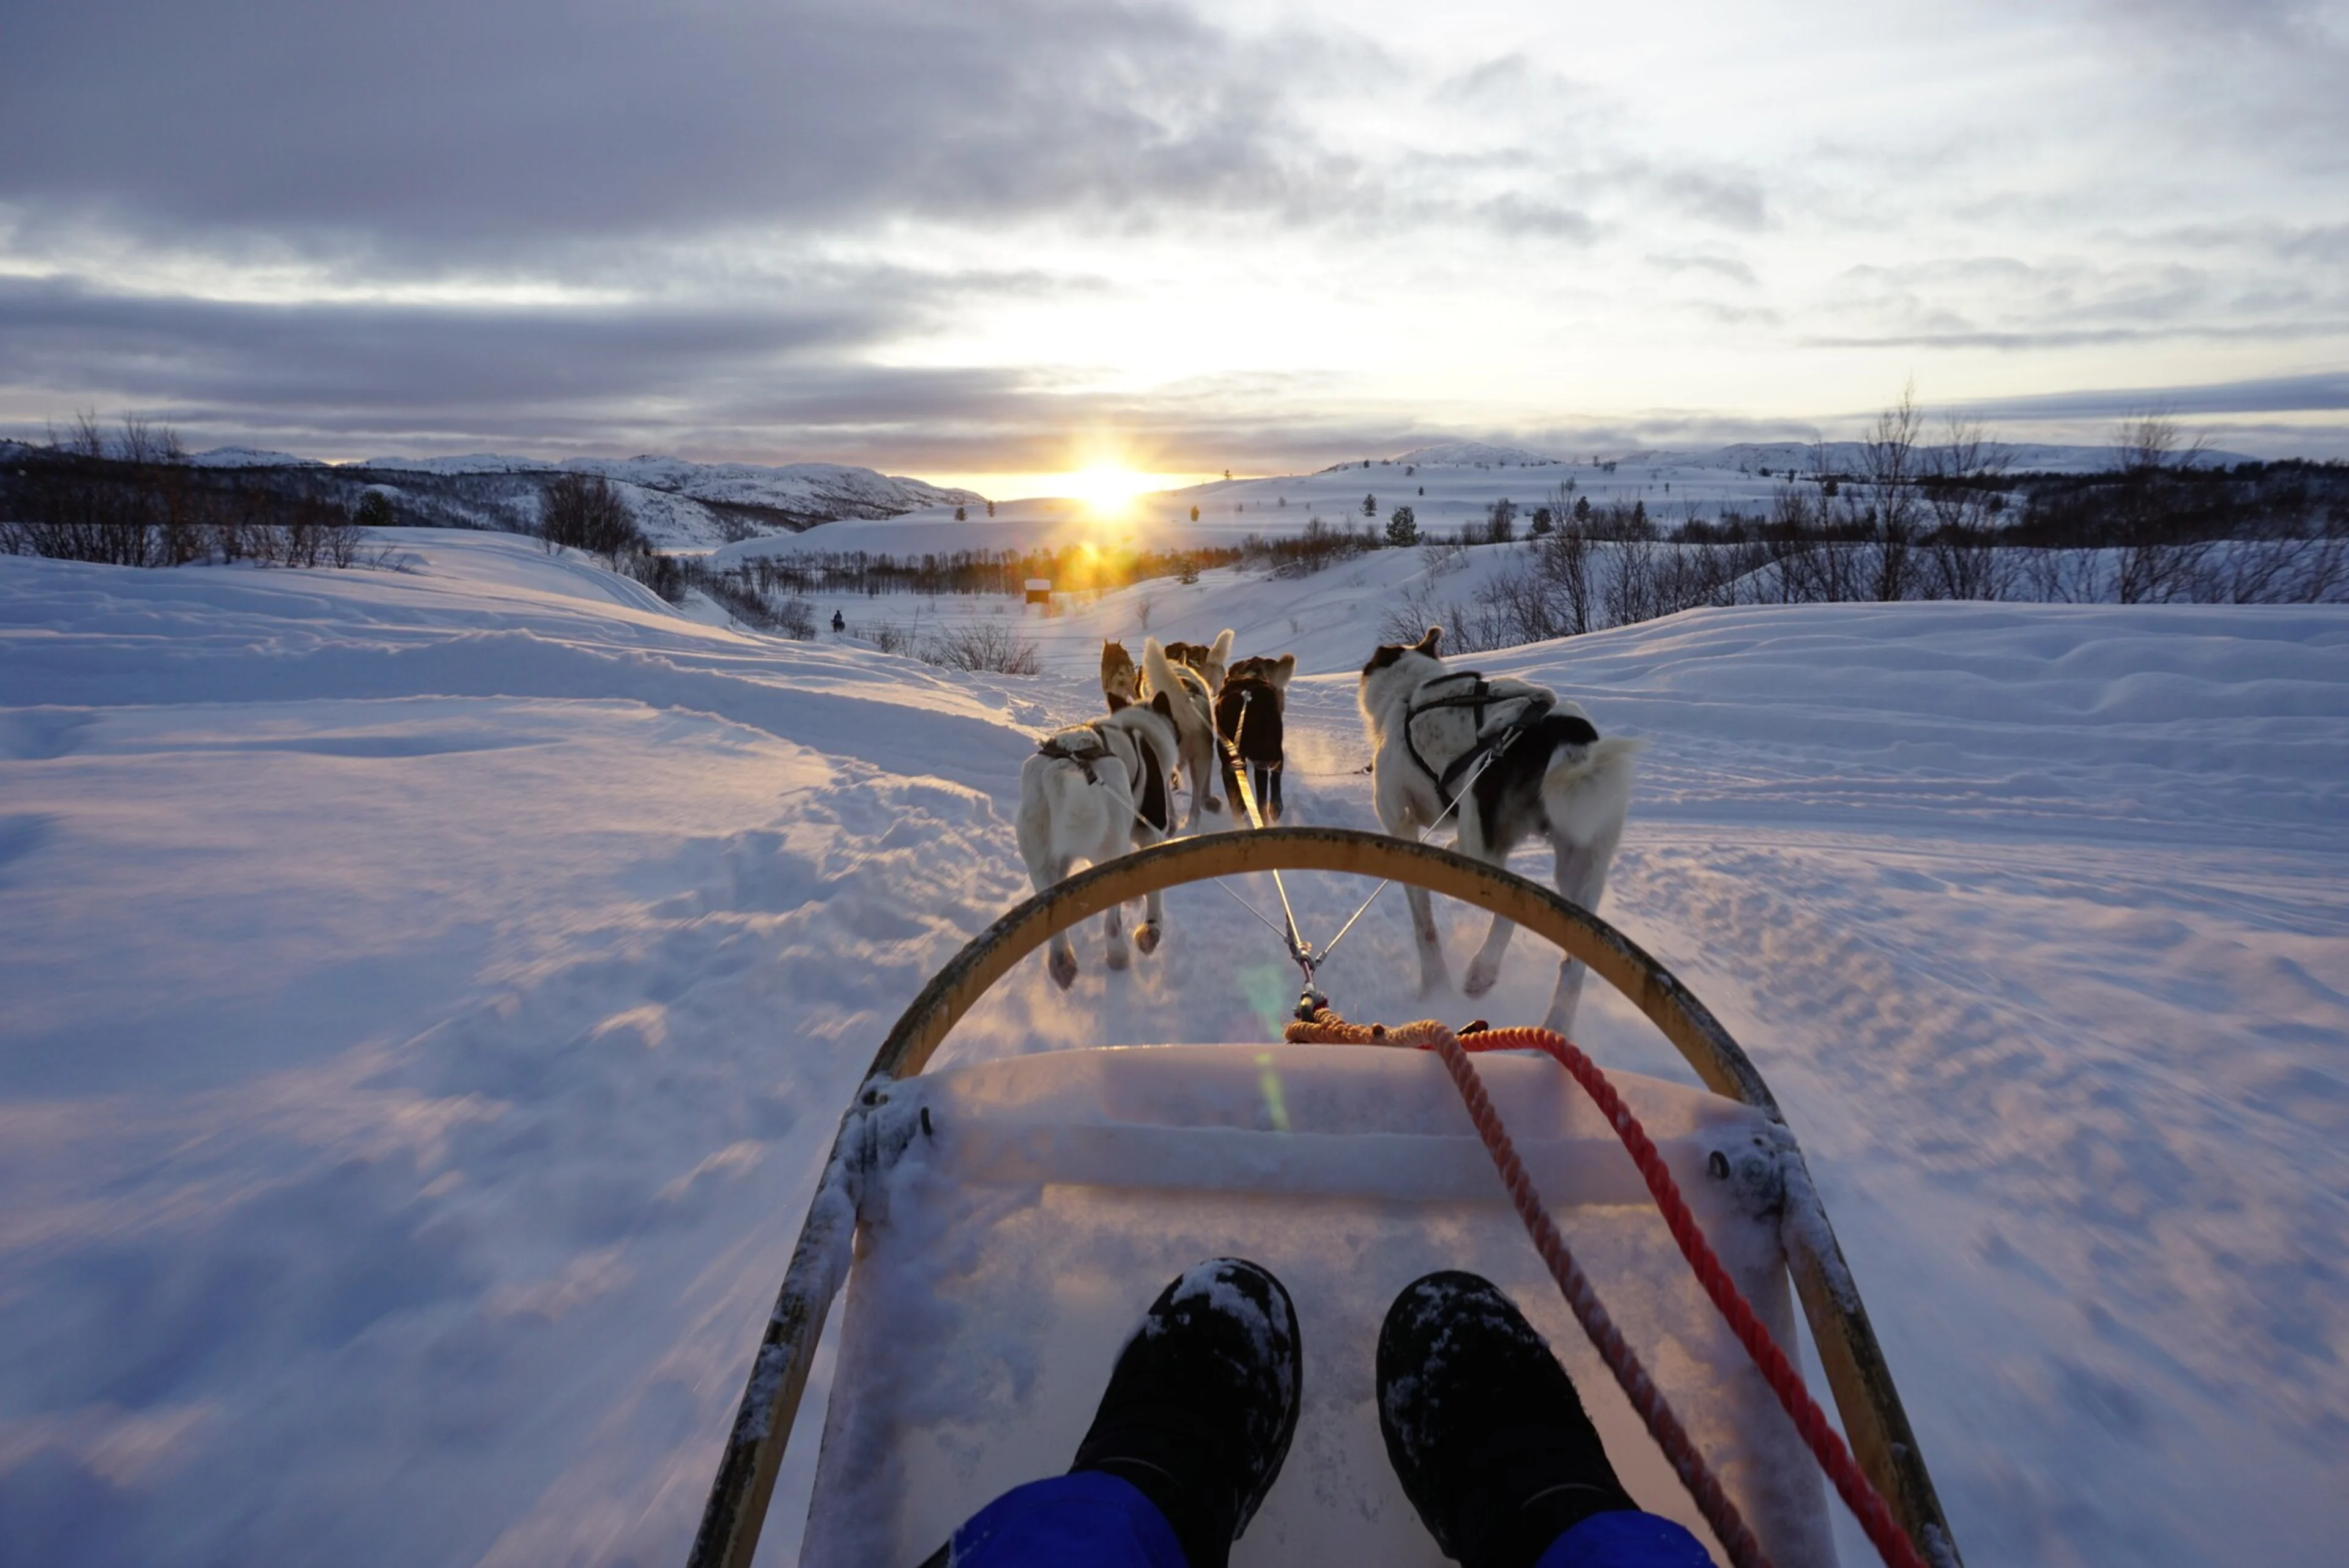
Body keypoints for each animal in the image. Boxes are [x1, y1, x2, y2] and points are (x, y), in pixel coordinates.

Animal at [1019, 690, 1184, 986]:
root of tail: (1065, 765)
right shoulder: (1150, 832)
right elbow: (1153, 892)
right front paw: (1151, 928)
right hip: (1109, 860)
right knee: (1112, 923)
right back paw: (1117, 954)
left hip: (1042, 866)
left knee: (1053, 925)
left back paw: (1061, 961)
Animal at [1362, 624, 1635, 1042]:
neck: (1408, 694)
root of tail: (1564, 735)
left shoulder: (1402, 825)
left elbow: (1425, 926)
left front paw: (1433, 986)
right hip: (1582, 863)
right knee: (1574, 963)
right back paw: (1554, 1028)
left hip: (1484, 841)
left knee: (1510, 910)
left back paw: (1482, 971)